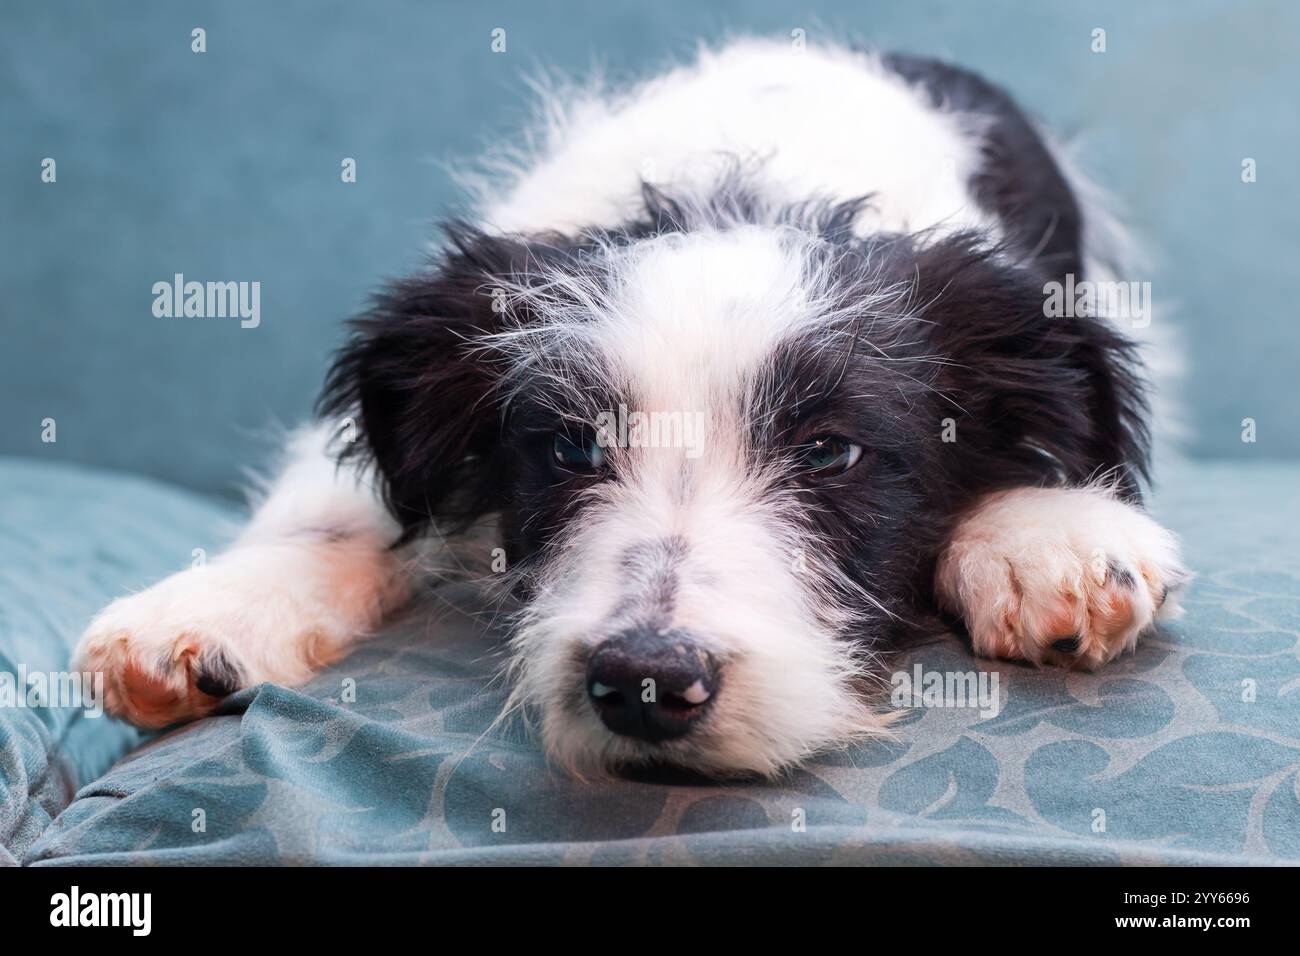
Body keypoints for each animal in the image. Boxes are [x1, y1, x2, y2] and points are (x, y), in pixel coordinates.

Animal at [73, 37, 1190, 780]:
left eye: (830, 451)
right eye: (570, 448)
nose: (647, 679)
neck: (752, 188)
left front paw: (1047, 535)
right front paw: (205, 607)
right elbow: (347, 500)